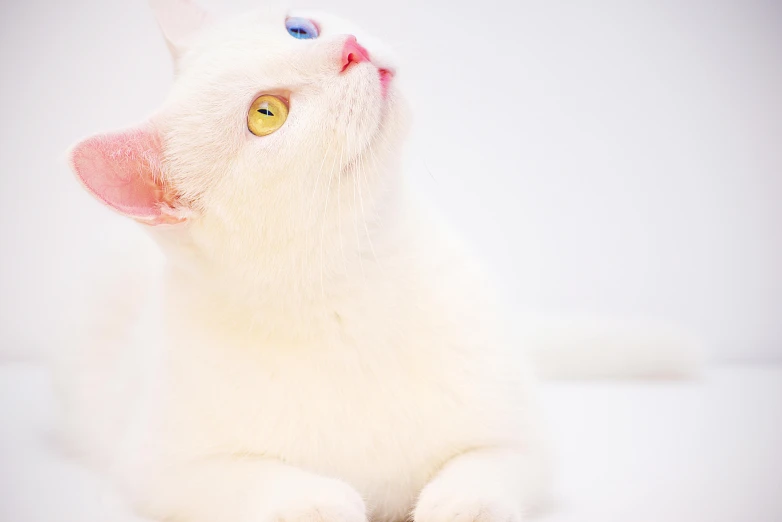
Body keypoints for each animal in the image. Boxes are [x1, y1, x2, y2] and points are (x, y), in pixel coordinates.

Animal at [55, 1, 700, 520]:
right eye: (266, 113)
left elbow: (489, 464)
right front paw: (322, 502)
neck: (359, 290)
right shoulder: (162, 469)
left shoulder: (524, 438)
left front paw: (456, 503)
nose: (350, 48)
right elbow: (260, 484)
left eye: (299, 28)